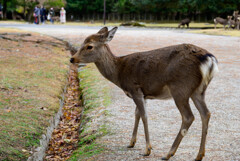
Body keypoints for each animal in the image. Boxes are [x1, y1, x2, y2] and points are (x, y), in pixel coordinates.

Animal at [69, 27, 218, 160]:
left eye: (89, 46)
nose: (72, 59)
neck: (119, 73)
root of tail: (209, 59)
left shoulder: (135, 89)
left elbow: (144, 116)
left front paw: (147, 150)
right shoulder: (144, 94)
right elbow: (137, 114)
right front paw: (131, 143)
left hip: (180, 88)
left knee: (188, 117)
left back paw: (168, 154)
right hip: (198, 90)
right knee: (206, 113)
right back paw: (199, 155)